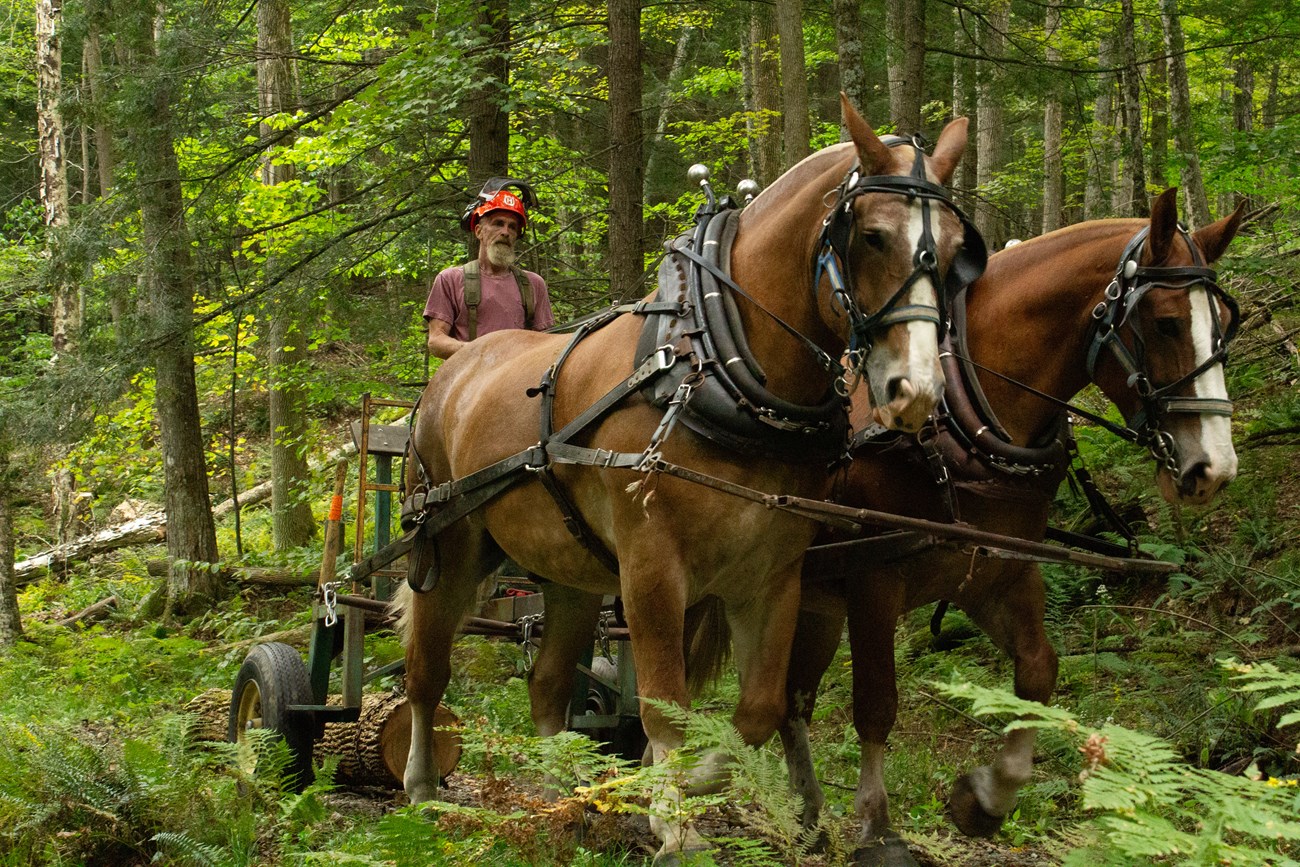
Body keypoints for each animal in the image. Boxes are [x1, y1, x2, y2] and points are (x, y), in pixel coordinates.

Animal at [390, 98, 977, 863]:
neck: (713, 366)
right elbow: (666, 706)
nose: (917, 392)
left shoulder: (772, 575)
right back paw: (422, 785)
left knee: (547, 685)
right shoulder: (652, 568)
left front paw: (670, 786)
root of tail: (453, 375)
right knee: (427, 671)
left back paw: (565, 794)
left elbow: (757, 710)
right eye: (873, 237)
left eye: (960, 247)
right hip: (451, 544)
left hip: (571, 574)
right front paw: (672, 816)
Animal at [774, 189, 1242, 867]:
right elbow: (877, 706)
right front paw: (879, 831)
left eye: (1224, 328)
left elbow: (1039, 673)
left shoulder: (999, 573)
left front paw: (984, 798)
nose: (1215, 468)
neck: (957, 423)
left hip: (814, 601)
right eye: (1165, 323)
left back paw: (809, 815)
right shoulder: (873, 585)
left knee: (794, 699)